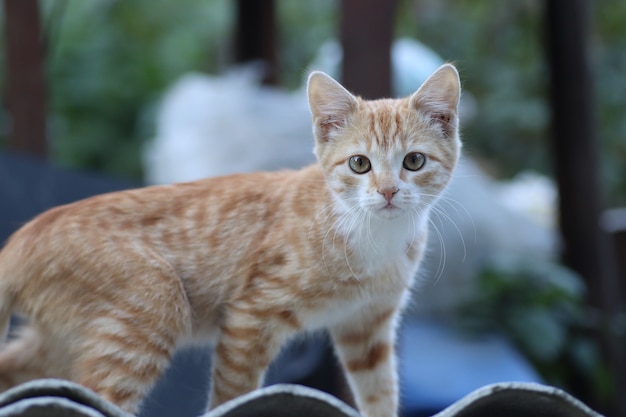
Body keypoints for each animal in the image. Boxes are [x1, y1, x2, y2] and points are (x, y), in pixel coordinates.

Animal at [0, 64, 458, 416]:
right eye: (359, 164)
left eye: (414, 161)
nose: (388, 191)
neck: (372, 236)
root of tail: (21, 239)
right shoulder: (250, 316)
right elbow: (233, 395)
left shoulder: (367, 326)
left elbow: (380, 393)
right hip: (151, 306)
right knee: (99, 393)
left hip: (63, 340)